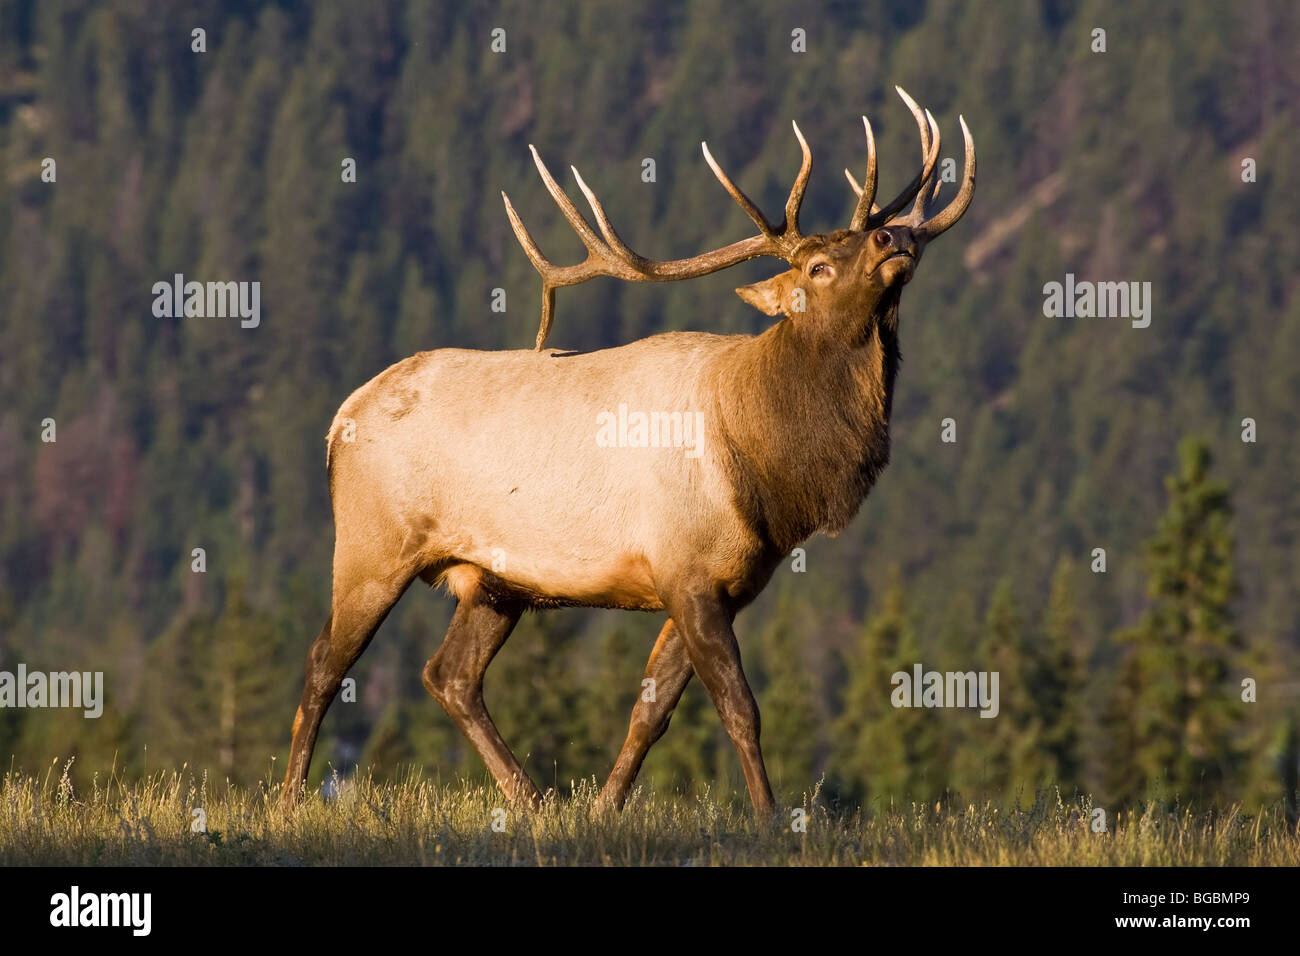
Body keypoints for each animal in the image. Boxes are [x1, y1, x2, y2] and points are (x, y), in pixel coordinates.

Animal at [281, 87, 975, 817]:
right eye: (817, 266)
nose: (894, 236)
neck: (766, 470)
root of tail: (338, 421)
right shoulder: (686, 569)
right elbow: (739, 708)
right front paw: (768, 814)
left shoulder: (719, 584)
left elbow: (652, 710)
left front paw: (603, 806)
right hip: (372, 544)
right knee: (326, 661)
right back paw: (291, 800)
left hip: (495, 582)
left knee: (449, 675)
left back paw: (533, 800)